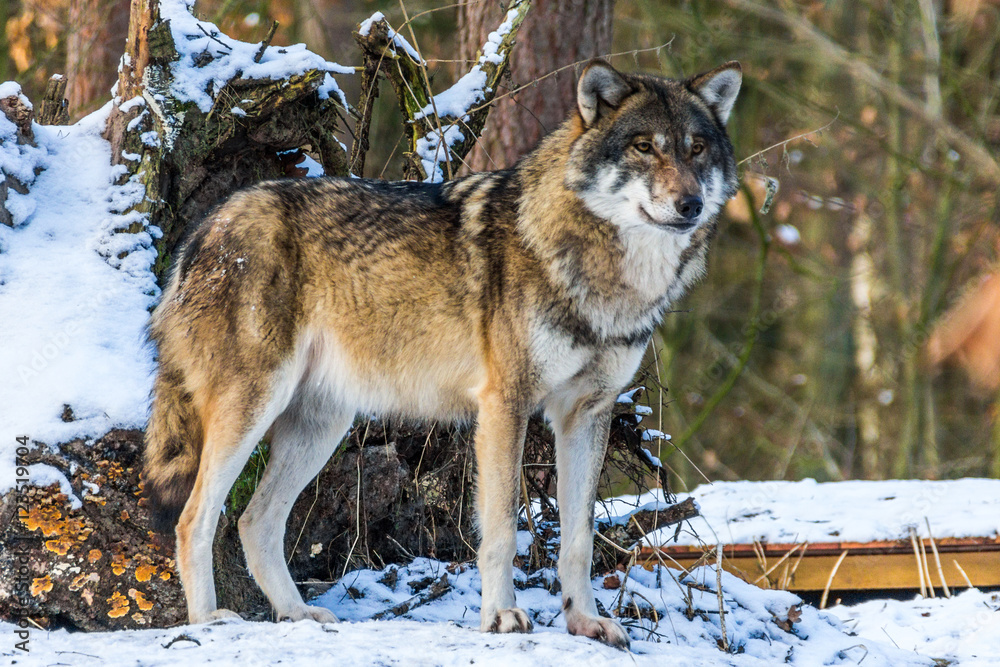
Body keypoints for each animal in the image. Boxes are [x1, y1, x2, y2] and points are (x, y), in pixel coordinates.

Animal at [143, 59, 741, 649]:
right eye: (643, 147)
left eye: (695, 149)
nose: (690, 204)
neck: (604, 277)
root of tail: (207, 225)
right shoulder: (505, 405)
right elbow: (500, 529)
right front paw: (501, 617)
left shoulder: (586, 413)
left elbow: (579, 540)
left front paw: (585, 624)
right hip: (253, 408)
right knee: (195, 518)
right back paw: (209, 622)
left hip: (321, 425)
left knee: (255, 522)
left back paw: (297, 615)